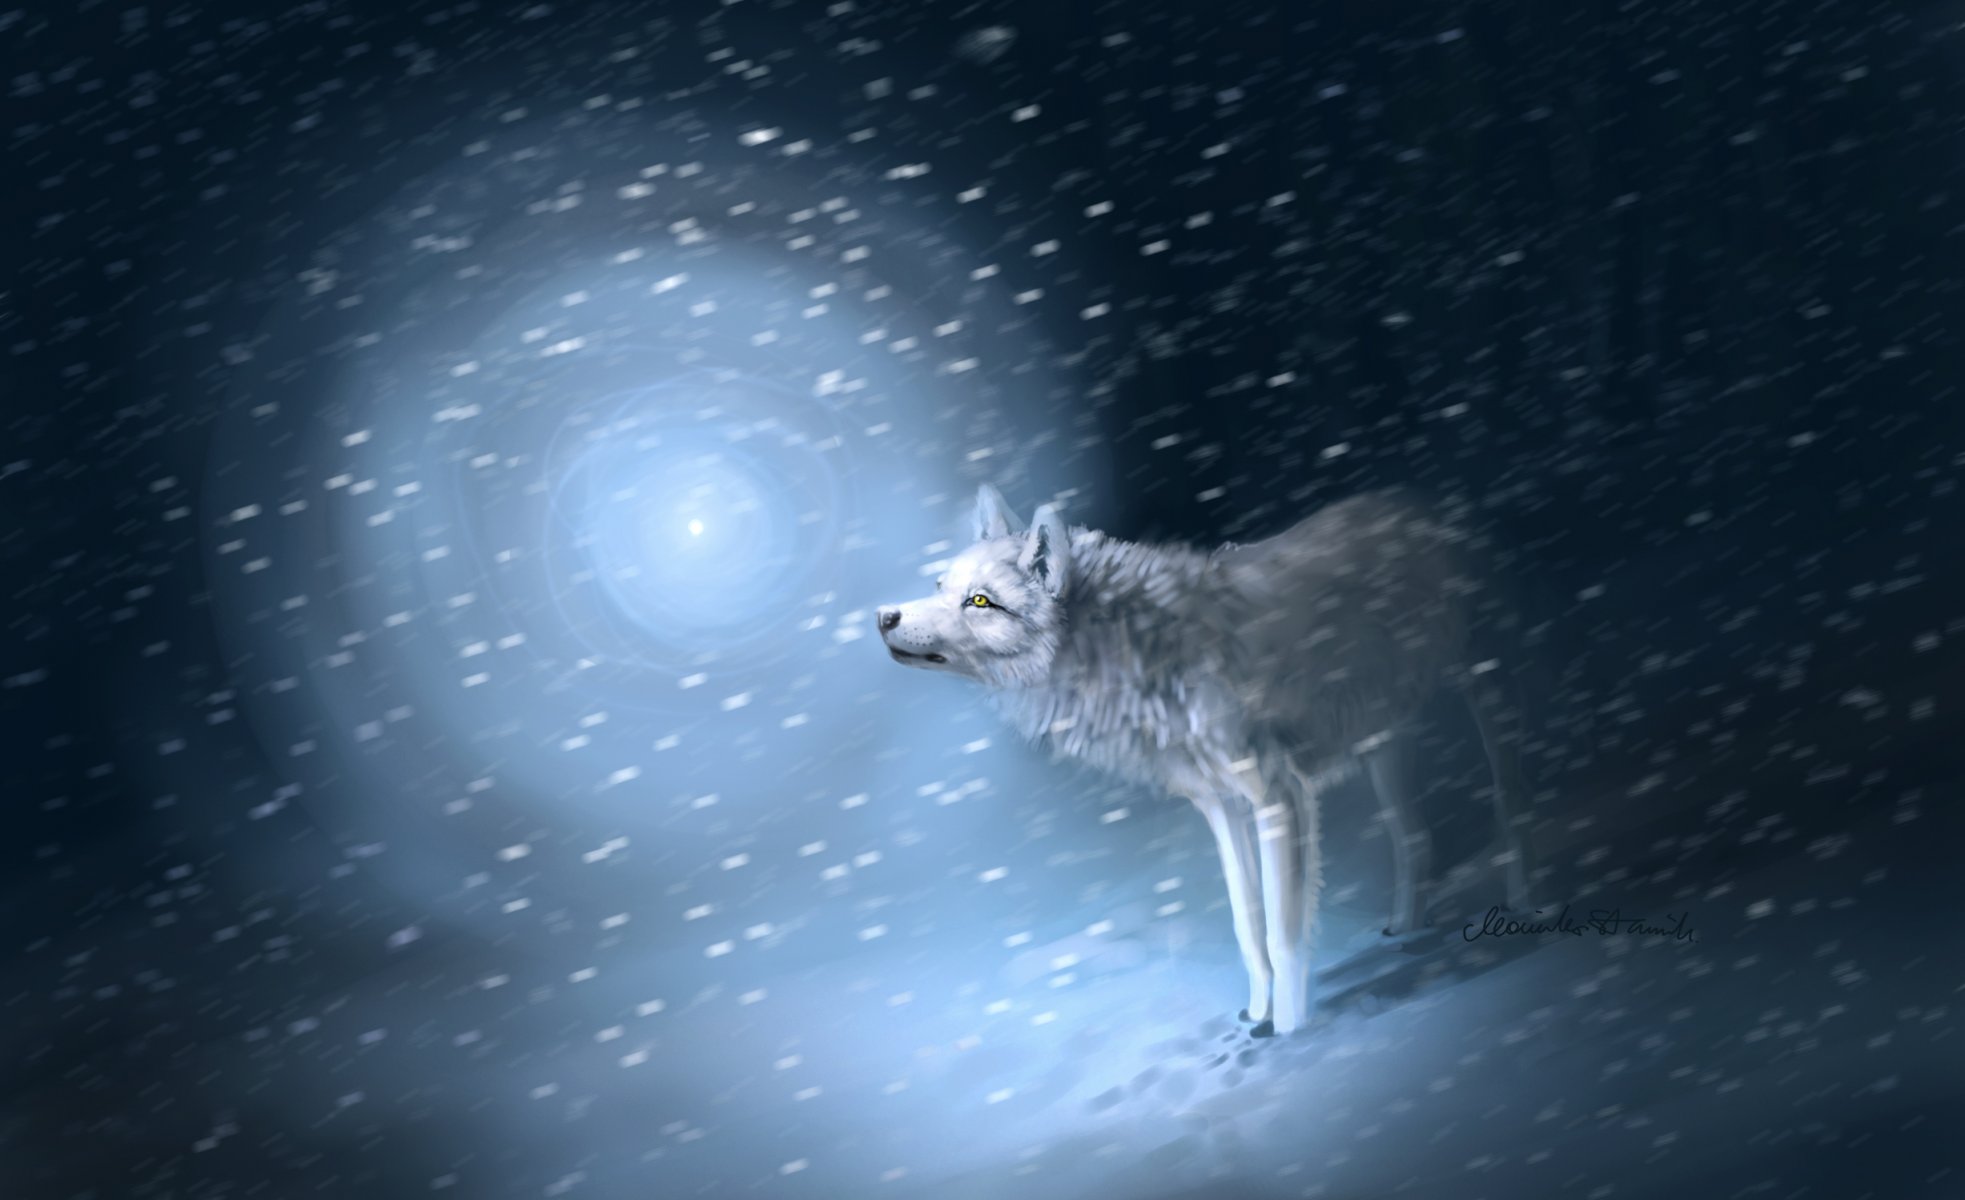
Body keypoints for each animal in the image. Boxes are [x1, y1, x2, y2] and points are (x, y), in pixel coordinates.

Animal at [876, 485, 1537, 1036]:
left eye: (980, 601)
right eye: (940, 587)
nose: (884, 616)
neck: (1135, 653)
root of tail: (1428, 504)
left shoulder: (1280, 797)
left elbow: (1284, 930)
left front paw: (1291, 1030)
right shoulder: (1222, 808)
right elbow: (1248, 926)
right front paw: (1257, 1016)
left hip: (1489, 698)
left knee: (1513, 805)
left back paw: (1527, 905)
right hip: (1383, 745)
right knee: (1414, 836)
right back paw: (1404, 928)